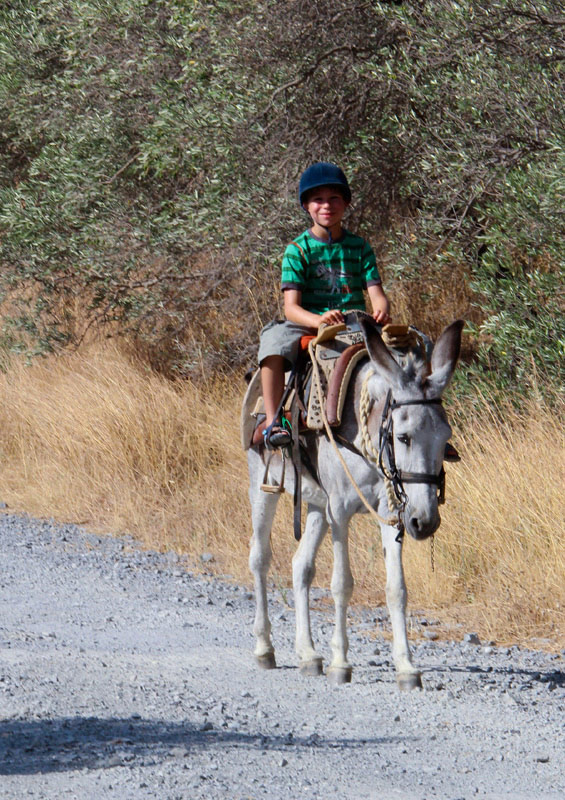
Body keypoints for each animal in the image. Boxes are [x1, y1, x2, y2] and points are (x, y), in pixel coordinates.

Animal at [247, 315, 464, 690]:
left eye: (445, 438)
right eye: (403, 437)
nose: (425, 522)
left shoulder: (390, 511)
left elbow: (397, 588)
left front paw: (406, 667)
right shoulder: (341, 512)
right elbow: (341, 584)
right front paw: (341, 663)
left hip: (317, 505)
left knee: (300, 566)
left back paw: (308, 654)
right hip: (264, 484)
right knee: (260, 558)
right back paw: (264, 649)